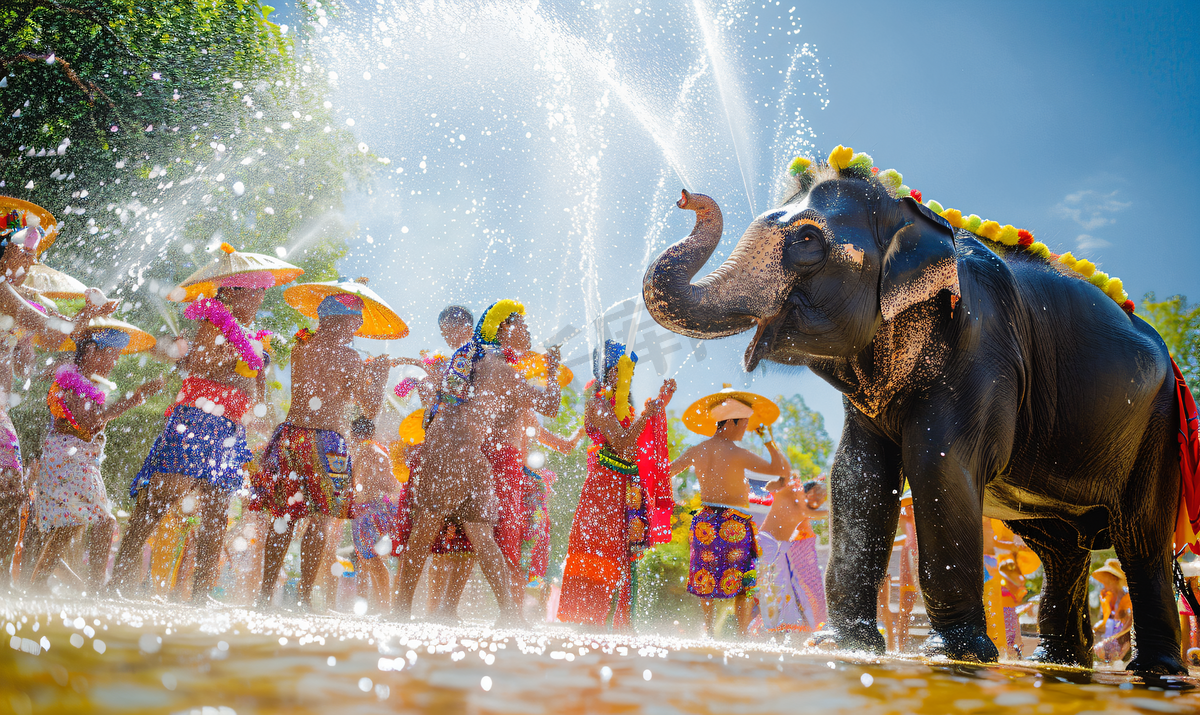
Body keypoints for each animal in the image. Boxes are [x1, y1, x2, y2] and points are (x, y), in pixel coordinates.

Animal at [643, 152, 1185, 676]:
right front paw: (841, 645)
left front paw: (955, 656)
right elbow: (858, 475)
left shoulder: (983, 345)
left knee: (1140, 539)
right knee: (1060, 548)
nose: (685, 197)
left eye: (807, 240)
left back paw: (1154, 670)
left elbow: (937, 463)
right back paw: (1057, 662)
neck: (910, 216)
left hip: (1158, 427)